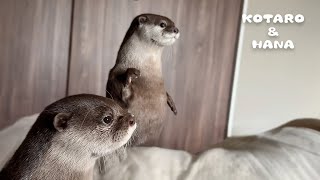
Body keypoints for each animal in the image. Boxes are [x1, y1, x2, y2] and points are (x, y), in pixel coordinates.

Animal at [106, 13, 179, 146]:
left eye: (174, 24)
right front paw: (129, 77)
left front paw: (172, 103)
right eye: (163, 24)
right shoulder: (114, 74)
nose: (176, 30)